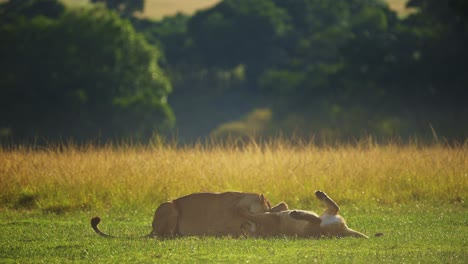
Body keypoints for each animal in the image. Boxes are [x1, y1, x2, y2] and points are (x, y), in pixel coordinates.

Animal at [239, 191, 368, 238]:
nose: (243, 226)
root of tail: (342, 230)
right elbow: (248, 214)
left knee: (332, 209)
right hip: (318, 223)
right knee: (320, 217)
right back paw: (297, 214)